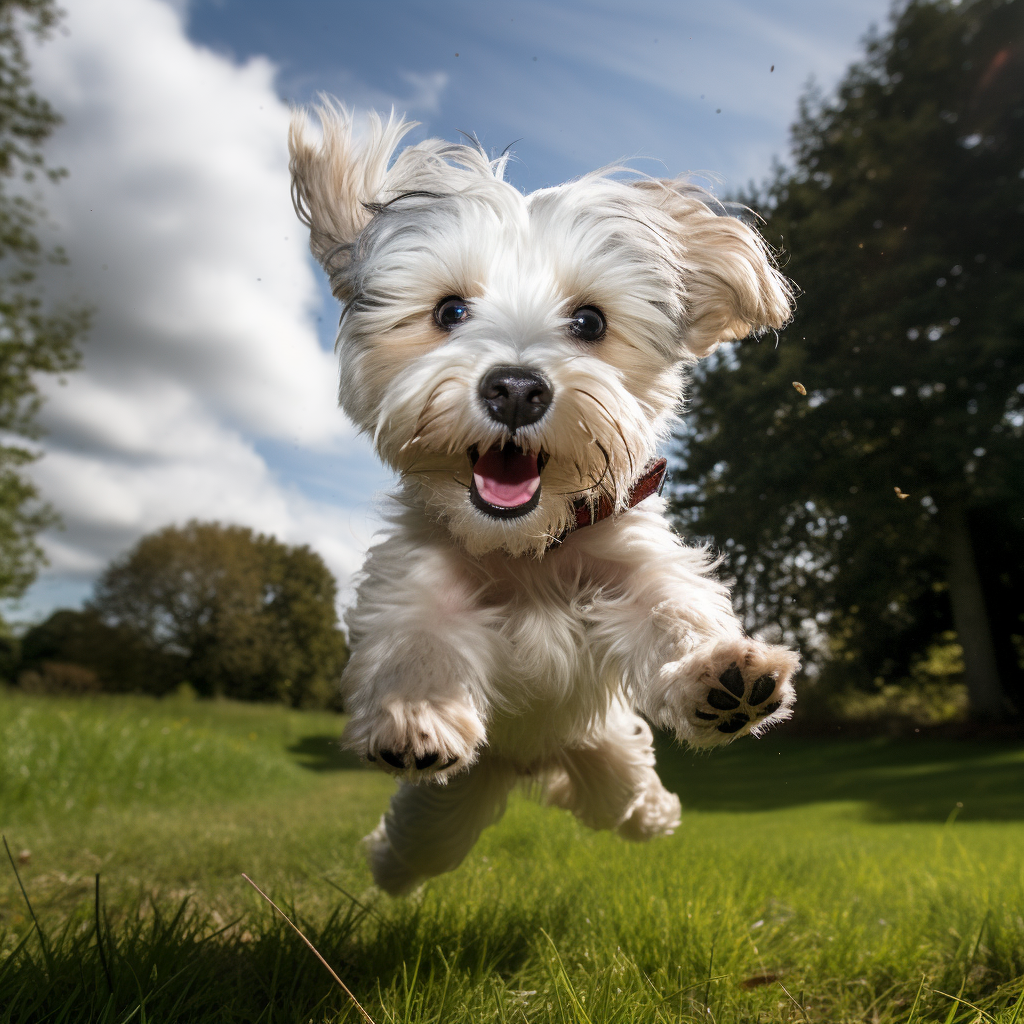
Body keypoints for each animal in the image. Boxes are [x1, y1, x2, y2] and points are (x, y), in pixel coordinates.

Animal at [286, 108, 798, 897]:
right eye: (450, 310)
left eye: (589, 323)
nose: (517, 388)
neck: (524, 547)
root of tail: (533, 764)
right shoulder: (418, 583)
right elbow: (420, 646)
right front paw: (417, 715)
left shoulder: (633, 569)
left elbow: (674, 613)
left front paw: (719, 673)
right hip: (452, 802)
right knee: (421, 840)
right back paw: (388, 863)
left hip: (605, 751)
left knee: (623, 794)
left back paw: (655, 811)